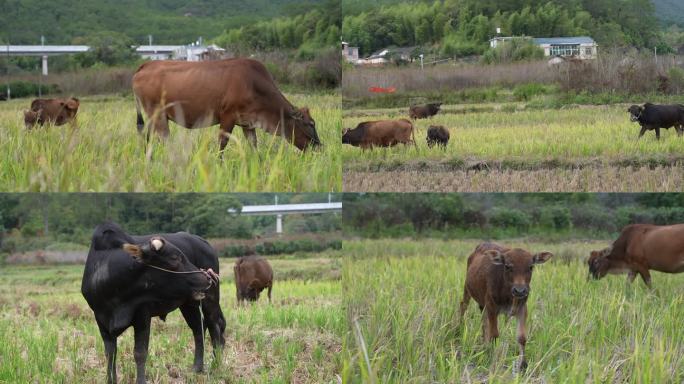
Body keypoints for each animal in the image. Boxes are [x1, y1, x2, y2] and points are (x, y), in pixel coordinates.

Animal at [81, 222, 224, 384]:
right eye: (175, 258)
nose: (207, 277)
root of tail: (204, 242)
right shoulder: (100, 319)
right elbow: (110, 353)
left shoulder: (142, 314)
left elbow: (140, 353)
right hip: (189, 304)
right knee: (198, 329)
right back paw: (197, 368)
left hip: (210, 299)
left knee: (214, 326)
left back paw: (216, 364)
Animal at [132, 58, 322, 152]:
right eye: (310, 124)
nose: (319, 147)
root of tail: (146, 65)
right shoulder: (228, 117)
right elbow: (222, 145)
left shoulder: (248, 123)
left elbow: (254, 146)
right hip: (158, 115)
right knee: (164, 139)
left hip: (153, 117)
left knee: (146, 136)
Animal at [456, 243, 552, 372]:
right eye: (507, 266)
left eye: (531, 267)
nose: (520, 290)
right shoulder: (492, 307)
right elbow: (494, 334)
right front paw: (492, 358)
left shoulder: (522, 309)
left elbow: (522, 337)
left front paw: (523, 365)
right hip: (467, 288)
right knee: (463, 306)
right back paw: (459, 327)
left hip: (482, 303)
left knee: (483, 321)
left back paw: (484, 343)